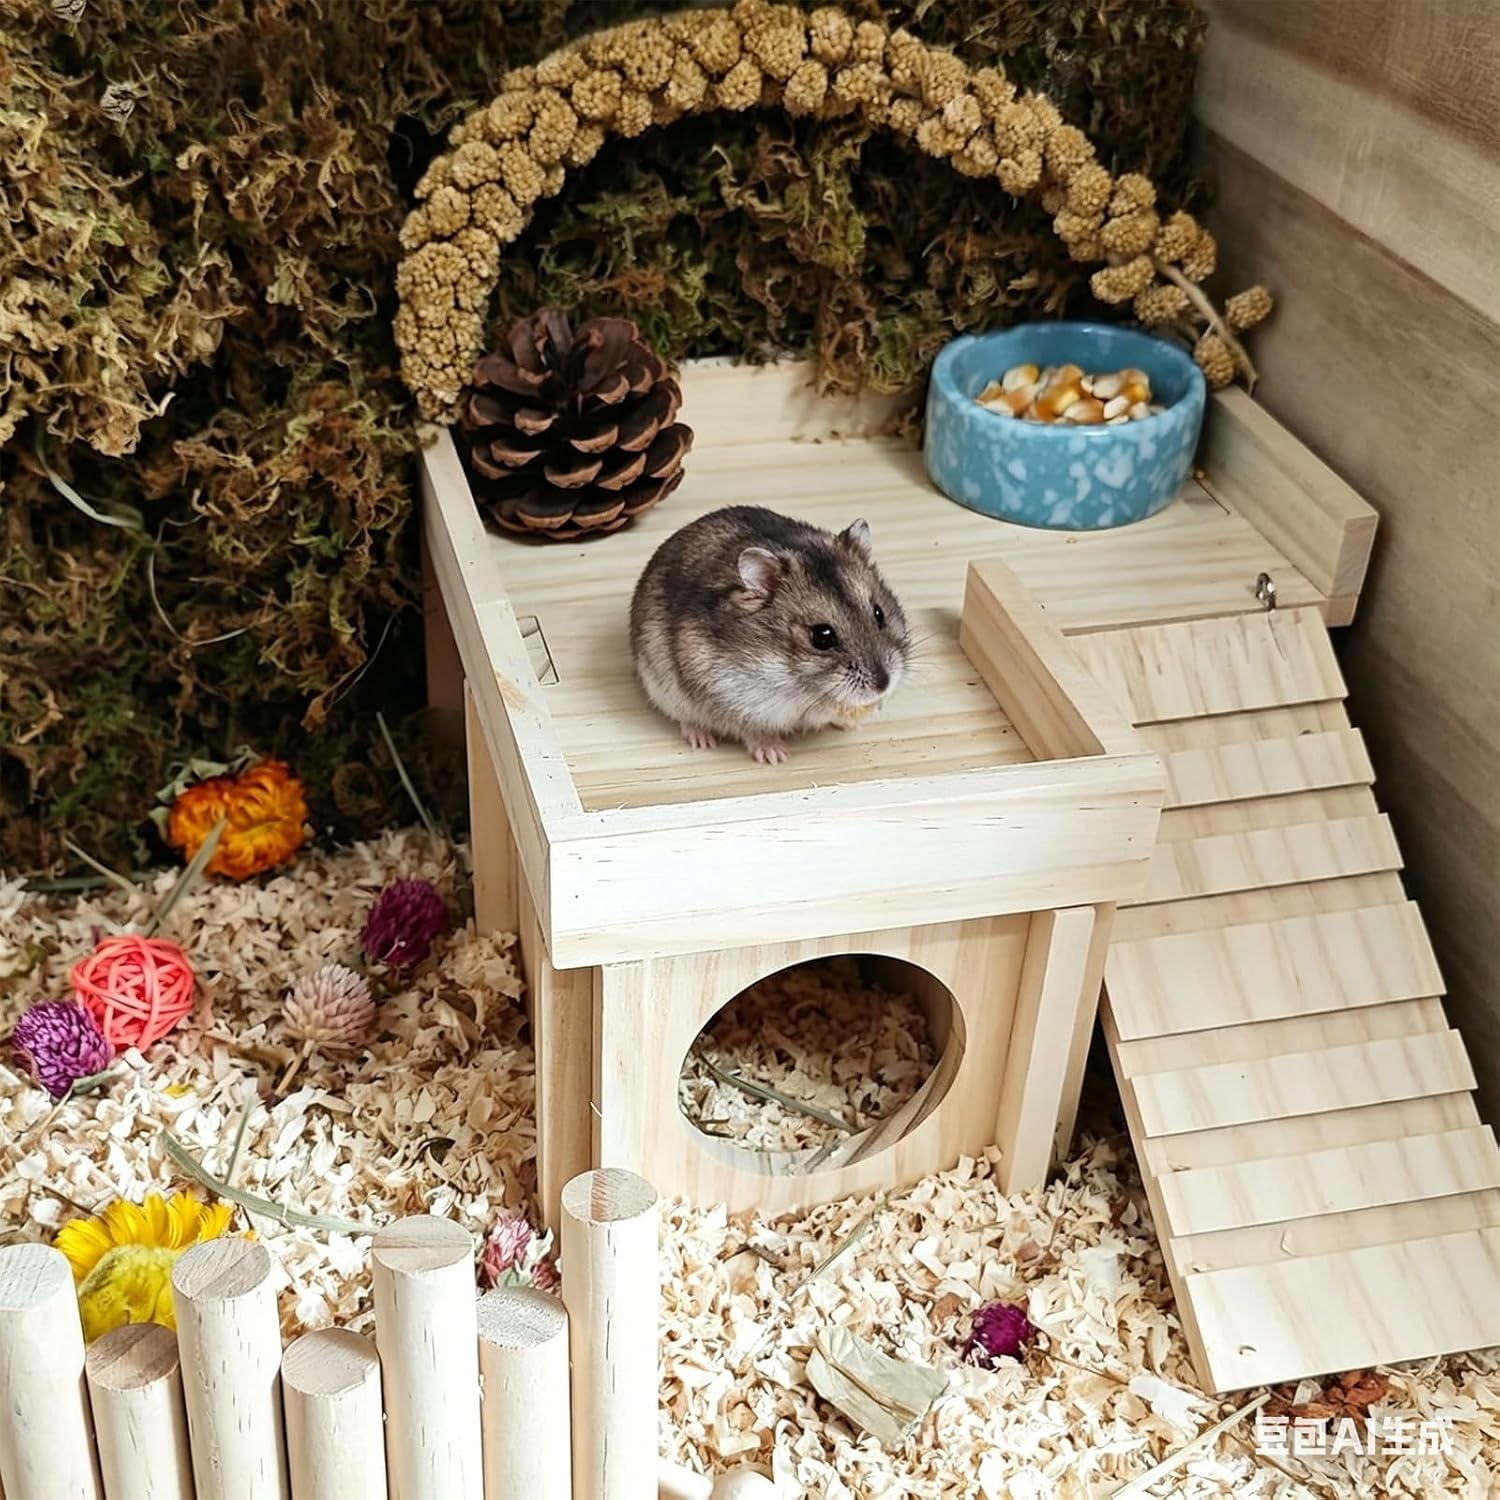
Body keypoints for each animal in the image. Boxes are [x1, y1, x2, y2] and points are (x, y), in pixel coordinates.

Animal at [629, 505, 912, 764]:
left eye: (879, 613)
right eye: (822, 636)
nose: (883, 686)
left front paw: (857, 720)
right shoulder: (732, 698)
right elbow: (755, 731)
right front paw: (777, 756)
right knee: (686, 719)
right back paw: (703, 740)